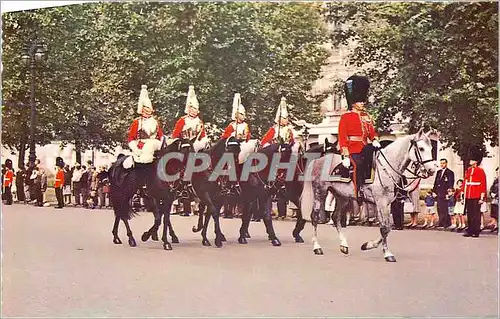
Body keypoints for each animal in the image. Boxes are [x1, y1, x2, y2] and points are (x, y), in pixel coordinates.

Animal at [300, 129, 438, 262]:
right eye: (421, 148)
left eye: (431, 148)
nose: (432, 170)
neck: (386, 168)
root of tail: (318, 160)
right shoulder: (381, 202)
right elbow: (385, 228)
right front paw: (387, 253)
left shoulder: (386, 203)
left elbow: (386, 227)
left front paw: (368, 245)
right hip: (320, 192)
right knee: (315, 217)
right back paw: (317, 247)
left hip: (342, 196)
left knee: (335, 217)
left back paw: (344, 244)